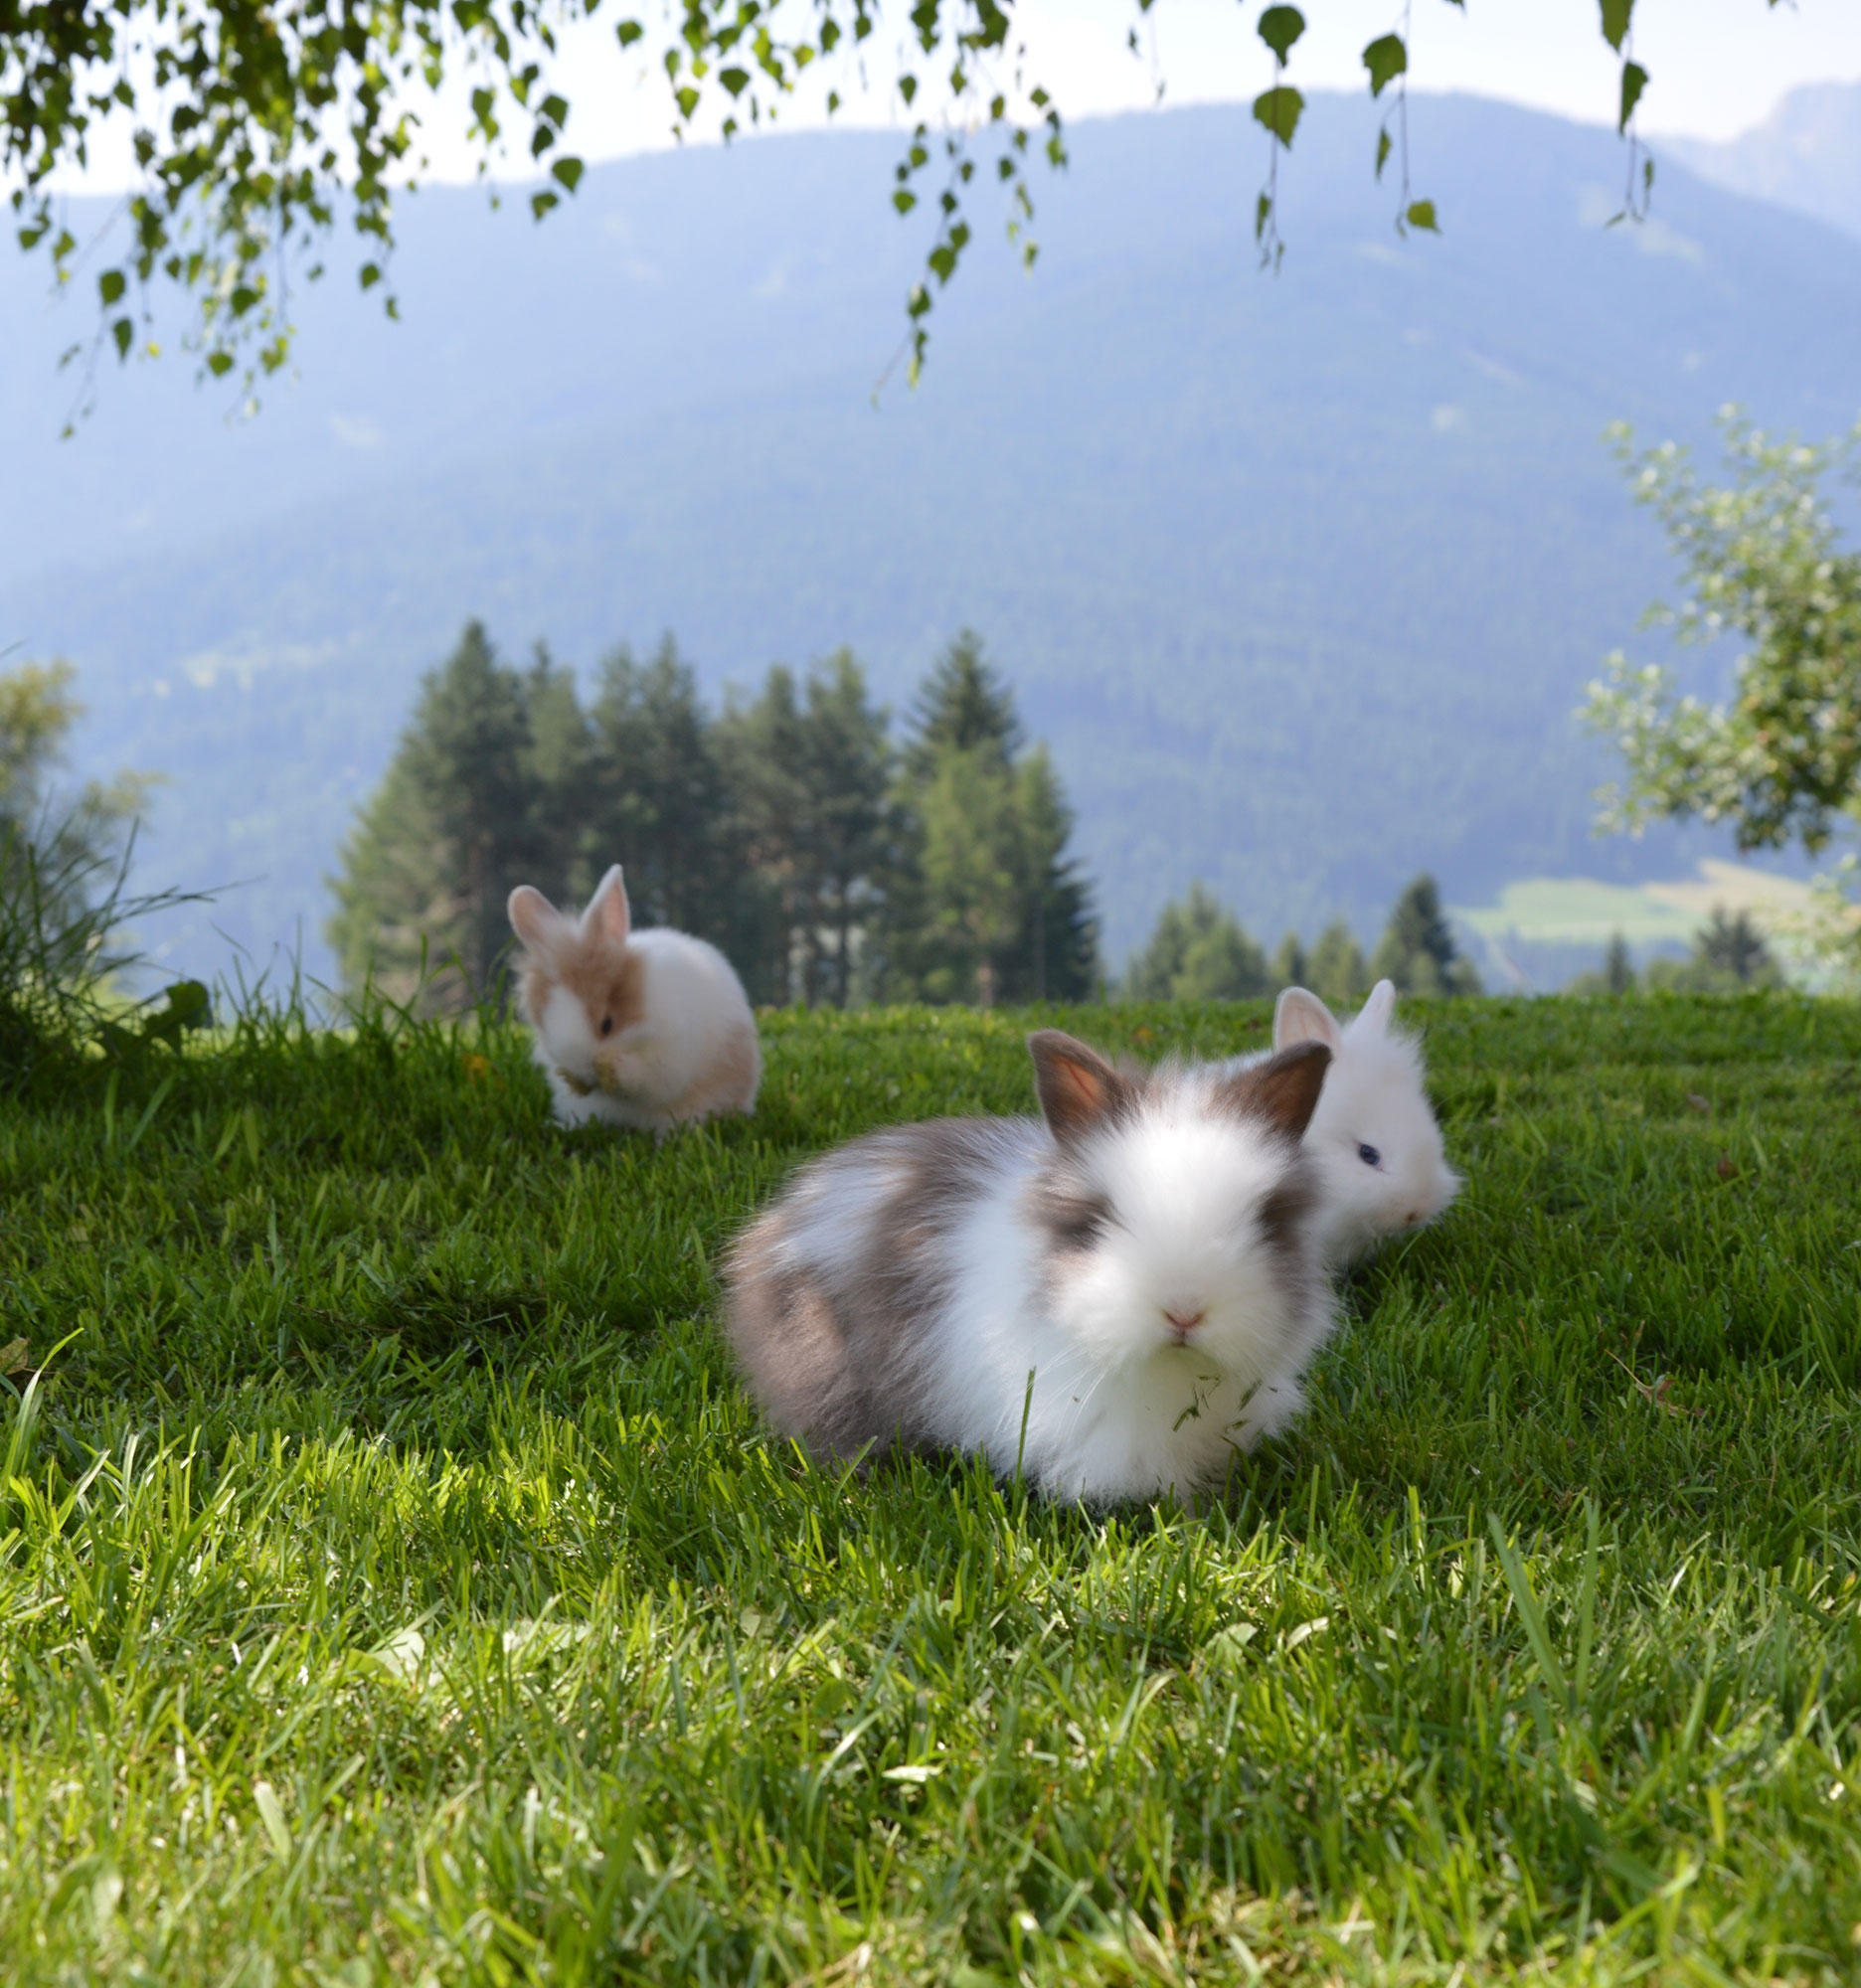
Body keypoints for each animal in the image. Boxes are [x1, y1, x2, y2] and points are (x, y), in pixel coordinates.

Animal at [506, 863, 761, 1134]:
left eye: (607, 1024)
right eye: (546, 1028)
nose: (585, 1074)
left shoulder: (668, 1060)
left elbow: (646, 1079)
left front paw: (618, 1068)